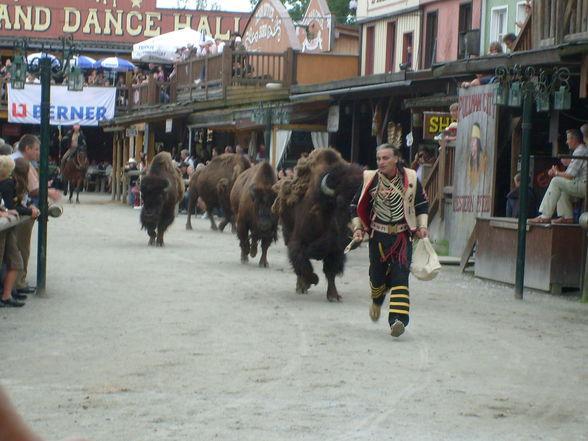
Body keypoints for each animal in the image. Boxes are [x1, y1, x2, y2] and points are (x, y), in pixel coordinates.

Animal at [274, 148, 366, 302]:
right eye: (339, 201)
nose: (353, 234)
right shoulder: (297, 242)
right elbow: (303, 265)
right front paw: (310, 281)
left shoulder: (336, 251)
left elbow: (330, 272)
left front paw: (334, 296)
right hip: (287, 232)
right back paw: (301, 287)